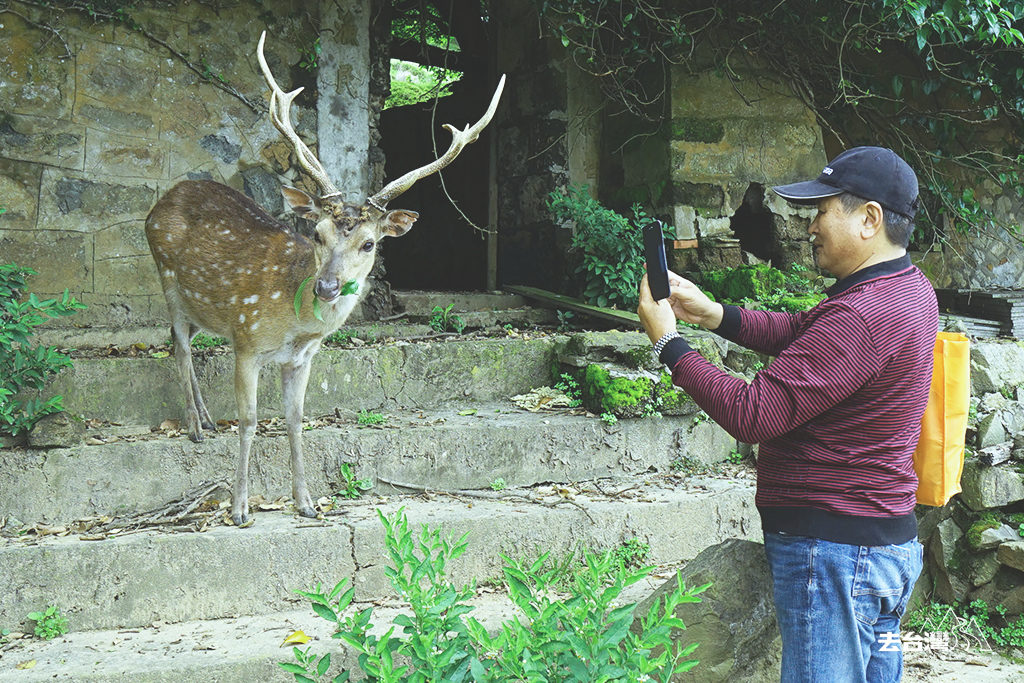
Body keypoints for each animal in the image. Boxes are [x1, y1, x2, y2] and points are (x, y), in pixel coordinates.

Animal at [146, 30, 505, 524]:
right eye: (316, 232)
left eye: (369, 243)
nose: (327, 287)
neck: (294, 324)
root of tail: (160, 202)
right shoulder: (247, 340)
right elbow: (251, 421)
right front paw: (239, 509)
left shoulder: (302, 358)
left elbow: (296, 421)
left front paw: (306, 502)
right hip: (166, 277)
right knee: (178, 346)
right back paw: (195, 428)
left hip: (203, 305)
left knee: (184, 341)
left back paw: (205, 419)